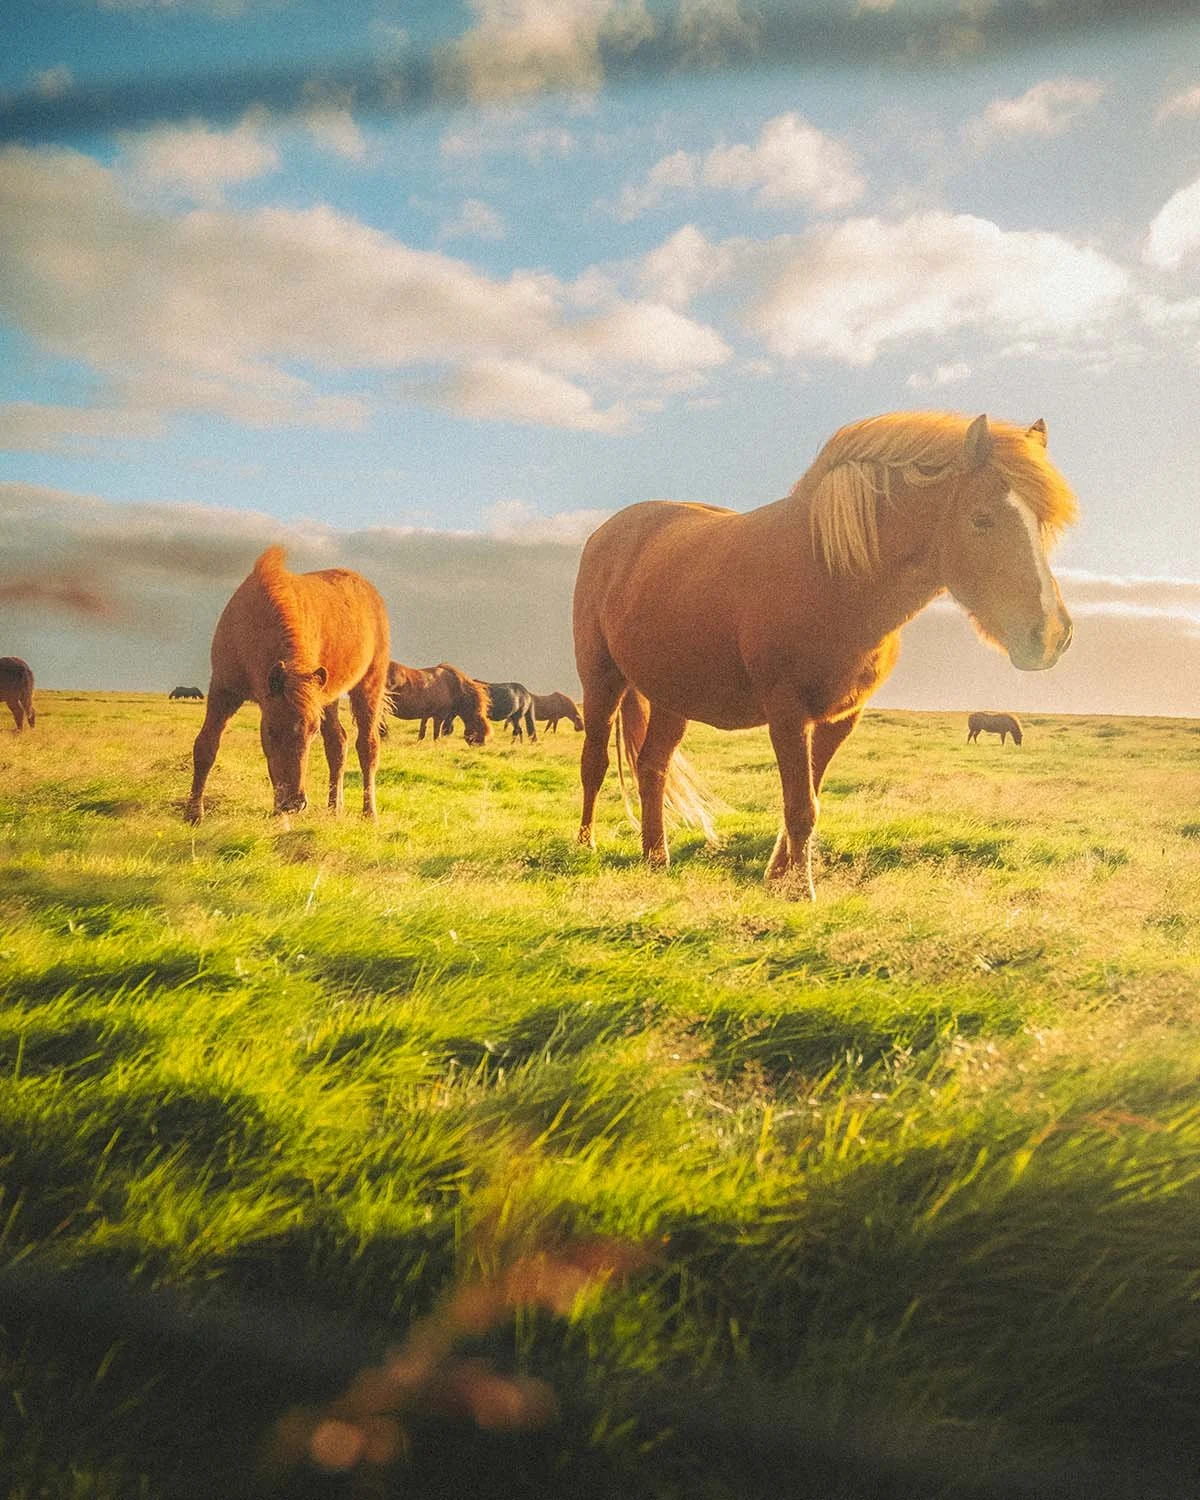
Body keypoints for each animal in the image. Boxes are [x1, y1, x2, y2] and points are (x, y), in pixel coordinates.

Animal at [185, 546, 390, 822]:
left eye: (312, 732)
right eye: (271, 730)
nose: (294, 803)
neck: (253, 623)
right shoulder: (224, 690)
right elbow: (206, 746)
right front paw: (193, 814)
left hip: (369, 686)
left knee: (367, 747)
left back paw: (370, 813)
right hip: (327, 696)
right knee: (337, 744)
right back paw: (333, 809)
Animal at [573, 411, 1076, 898]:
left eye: (1043, 525)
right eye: (981, 518)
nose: (1052, 634)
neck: (833, 578)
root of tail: (609, 532)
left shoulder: (841, 717)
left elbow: (808, 799)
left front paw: (779, 880)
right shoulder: (787, 712)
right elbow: (800, 807)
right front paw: (800, 890)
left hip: (672, 699)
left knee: (652, 766)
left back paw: (656, 857)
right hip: (601, 679)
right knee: (594, 762)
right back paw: (586, 846)